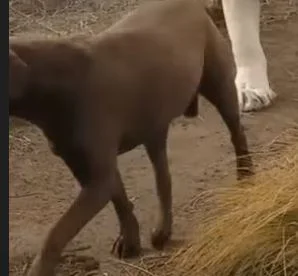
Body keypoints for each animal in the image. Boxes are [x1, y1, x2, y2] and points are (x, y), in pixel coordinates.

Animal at [9, 0, 253, 276]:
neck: (49, 78)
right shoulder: (91, 170)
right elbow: (121, 202)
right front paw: (131, 240)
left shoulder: (97, 178)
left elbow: (56, 233)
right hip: (154, 128)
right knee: (163, 179)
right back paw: (163, 229)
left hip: (219, 87)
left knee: (237, 134)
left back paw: (246, 175)